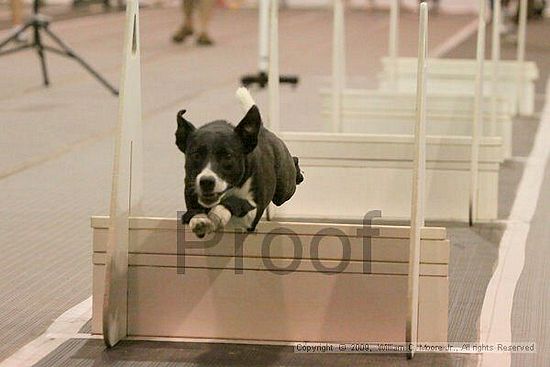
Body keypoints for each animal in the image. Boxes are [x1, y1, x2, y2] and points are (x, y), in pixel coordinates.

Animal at [177, 89, 306, 239]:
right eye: (196, 155)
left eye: (228, 156)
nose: (206, 181)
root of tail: (262, 129)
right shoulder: (191, 189)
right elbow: (195, 211)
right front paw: (199, 220)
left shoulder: (252, 214)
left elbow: (237, 202)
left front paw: (219, 213)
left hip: (283, 189)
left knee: (291, 171)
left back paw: (299, 174)